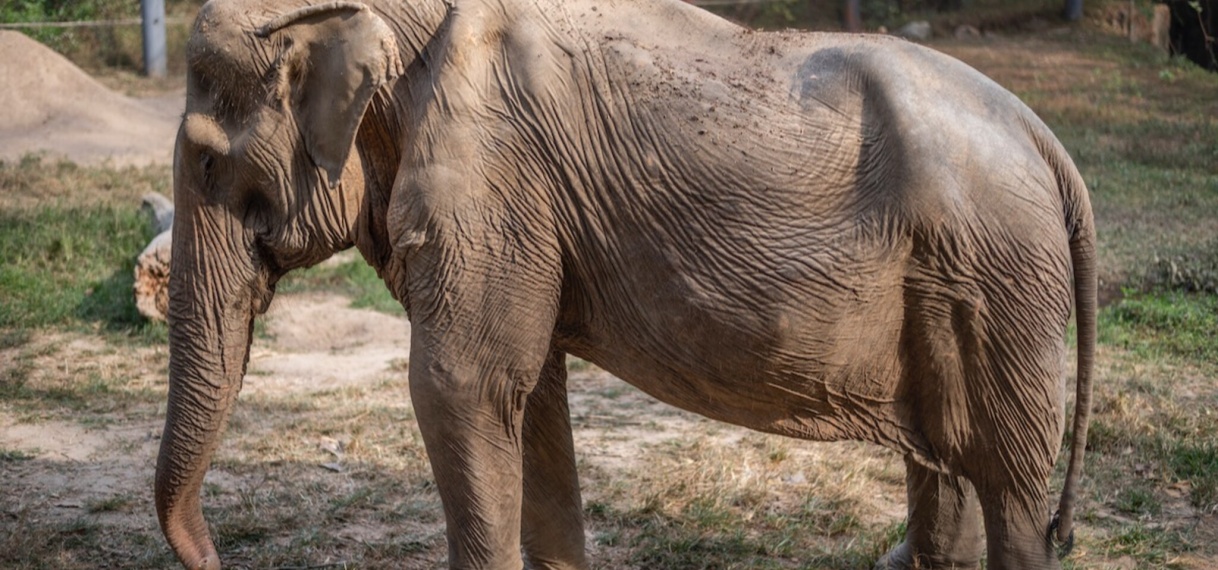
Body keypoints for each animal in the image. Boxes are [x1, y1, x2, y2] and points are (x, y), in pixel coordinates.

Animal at [157, 1, 1101, 570]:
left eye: (206, 164)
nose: (218, 558)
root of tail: (1050, 144)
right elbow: (528, 395)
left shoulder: (493, 177)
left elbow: (459, 386)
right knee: (947, 459)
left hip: (999, 282)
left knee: (1007, 483)